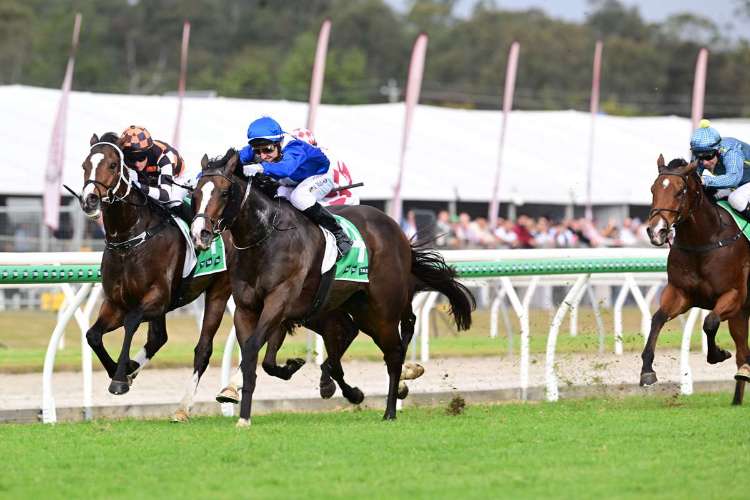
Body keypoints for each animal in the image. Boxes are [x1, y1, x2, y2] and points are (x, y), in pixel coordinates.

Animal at [79, 132, 235, 421]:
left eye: (113, 165)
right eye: (85, 165)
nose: (89, 200)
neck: (130, 240)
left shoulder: (157, 298)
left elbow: (131, 323)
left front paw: (120, 378)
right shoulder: (115, 302)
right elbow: (92, 335)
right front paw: (124, 369)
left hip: (220, 290)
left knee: (203, 348)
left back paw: (184, 407)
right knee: (158, 338)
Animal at [190, 149, 475, 426]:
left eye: (224, 192)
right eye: (195, 193)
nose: (200, 234)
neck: (265, 237)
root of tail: (397, 231)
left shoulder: (279, 301)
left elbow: (252, 349)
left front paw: (245, 414)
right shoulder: (247, 307)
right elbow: (255, 355)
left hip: (382, 309)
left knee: (394, 352)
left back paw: (390, 410)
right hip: (357, 308)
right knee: (354, 340)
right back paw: (355, 392)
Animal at [644, 155, 750, 404]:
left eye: (680, 191)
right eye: (653, 189)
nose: (656, 231)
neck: (704, 241)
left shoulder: (734, 296)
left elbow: (710, 322)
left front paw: (718, 354)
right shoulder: (680, 294)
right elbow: (657, 319)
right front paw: (647, 370)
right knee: (743, 354)